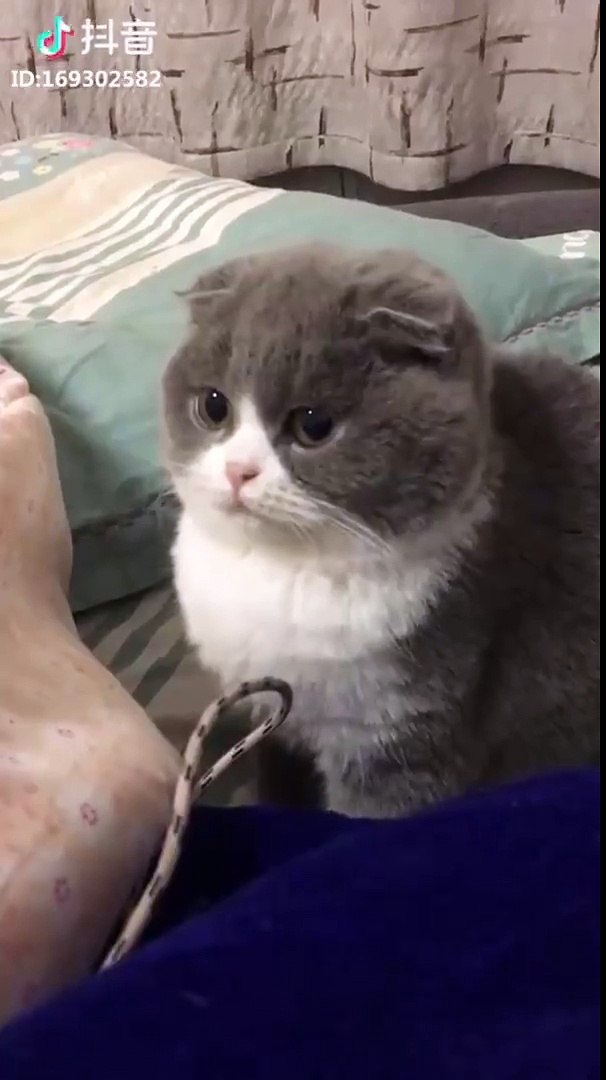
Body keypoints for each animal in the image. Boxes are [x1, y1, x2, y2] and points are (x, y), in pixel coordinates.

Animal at [162, 243, 600, 818]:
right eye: (214, 406)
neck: (282, 567)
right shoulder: (276, 719)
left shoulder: (402, 729)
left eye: (313, 425)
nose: (238, 471)